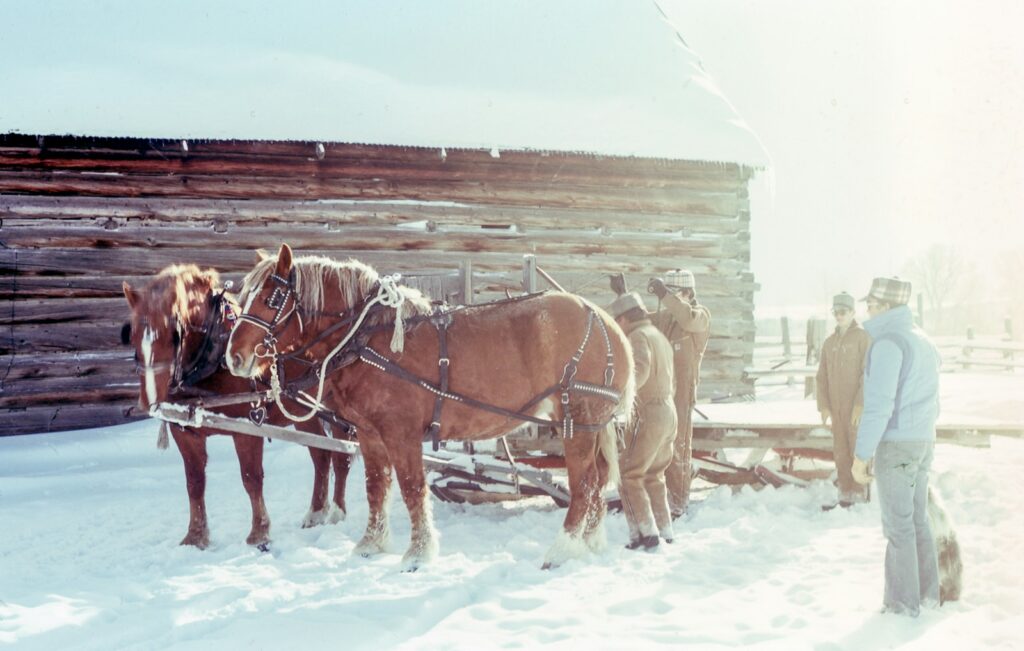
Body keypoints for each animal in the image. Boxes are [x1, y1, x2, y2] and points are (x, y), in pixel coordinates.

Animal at [121, 263, 353, 549]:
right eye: (130, 335)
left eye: (174, 335)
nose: (149, 400)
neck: (212, 358)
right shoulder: (184, 432)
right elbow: (194, 482)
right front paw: (195, 537)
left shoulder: (248, 427)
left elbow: (251, 478)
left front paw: (259, 534)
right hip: (303, 413)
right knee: (321, 456)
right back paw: (315, 513)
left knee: (342, 459)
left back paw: (337, 514)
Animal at [225, 243, 635, 569]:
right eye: (241, 297)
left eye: (271, 299)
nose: (235, 357)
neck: (368, 338)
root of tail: (604, 320)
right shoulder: (370, 434)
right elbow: (377, 487)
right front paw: (371, 545)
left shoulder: (401, 432)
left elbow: (411, 488)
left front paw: (418, 554)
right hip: (591, 425)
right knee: (598, 482)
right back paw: (590, 543)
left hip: (576, 420)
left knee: (583, 484)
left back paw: (562, 549)